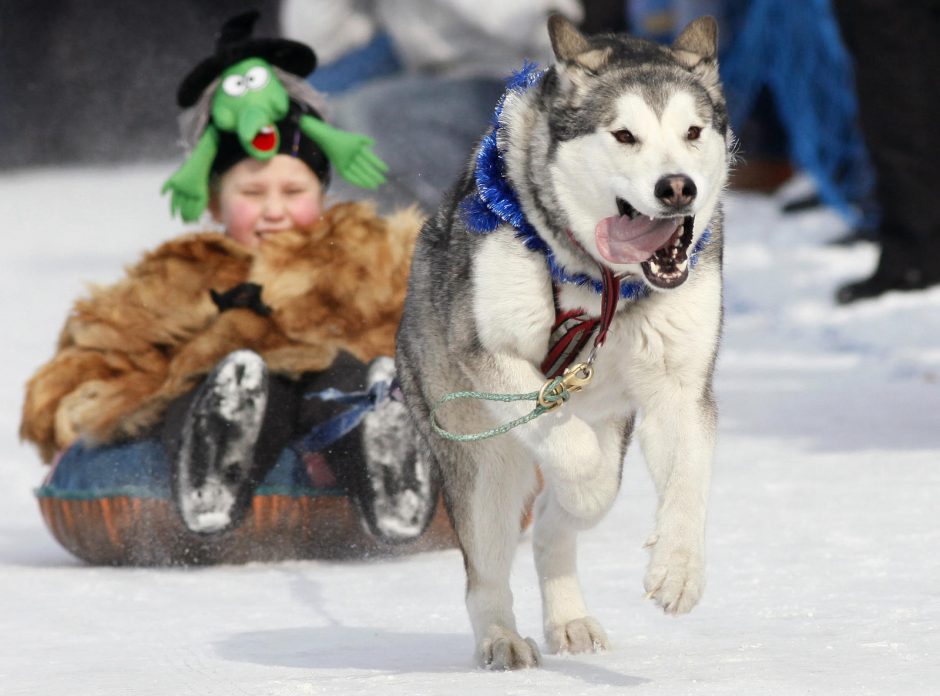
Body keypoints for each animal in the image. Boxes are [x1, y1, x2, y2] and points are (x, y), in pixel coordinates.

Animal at [392, 14, 732, 668]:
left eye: (693, 131)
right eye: (624, 134)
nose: (678, 188)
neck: (604, 281)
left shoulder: (680, 389)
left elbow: (688, 481)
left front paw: (678, 569)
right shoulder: (493, 358)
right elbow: (575, 458)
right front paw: (587, 484)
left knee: (554, 524)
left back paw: (569, 616)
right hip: (478, 450)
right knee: (487, 566)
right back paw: (500, 637)